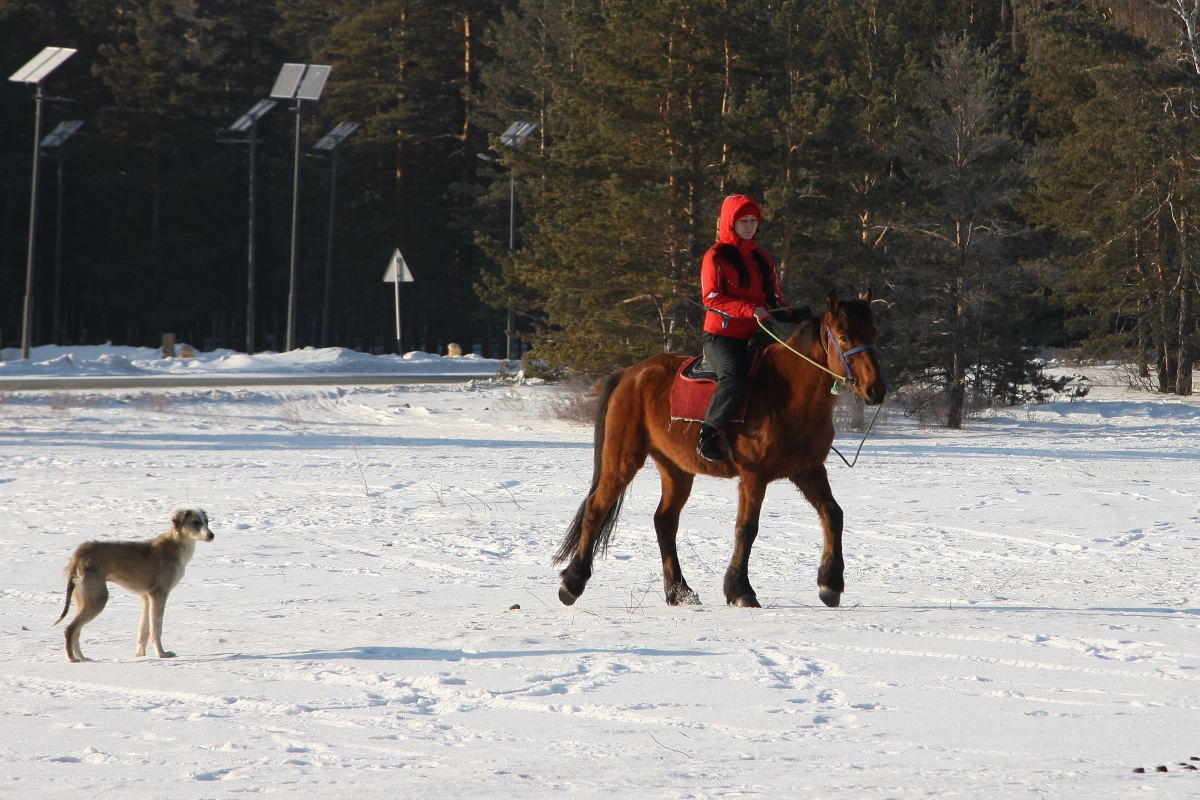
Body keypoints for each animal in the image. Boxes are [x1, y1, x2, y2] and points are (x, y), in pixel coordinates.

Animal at [55, 513, 216, 662]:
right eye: (195, 522)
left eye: (206, 521)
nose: (211, 535)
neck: (174, 546)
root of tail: (79, 553)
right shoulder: (159, 594)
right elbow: (156, 629)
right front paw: (162, 654)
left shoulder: (146, 597)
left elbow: (143, 630)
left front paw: (140, 655)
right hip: (98, 598)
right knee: (70, 629)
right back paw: (72, 658)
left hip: (83, 598)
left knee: (77, 631)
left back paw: (82, 658)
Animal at [549, 291, 883, 609]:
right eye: (844, 336)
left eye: (873, 332)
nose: (876, 389)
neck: (789, 391)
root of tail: (629, 375)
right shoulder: (753, 476)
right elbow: (747, 529)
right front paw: (741, 590)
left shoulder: (808, 469)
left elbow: (833, 514)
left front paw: (830, 583)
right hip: (622, 458)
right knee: (596, 509)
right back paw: (572, 584)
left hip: (676, 469)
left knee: (664, 521)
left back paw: (679, 591)